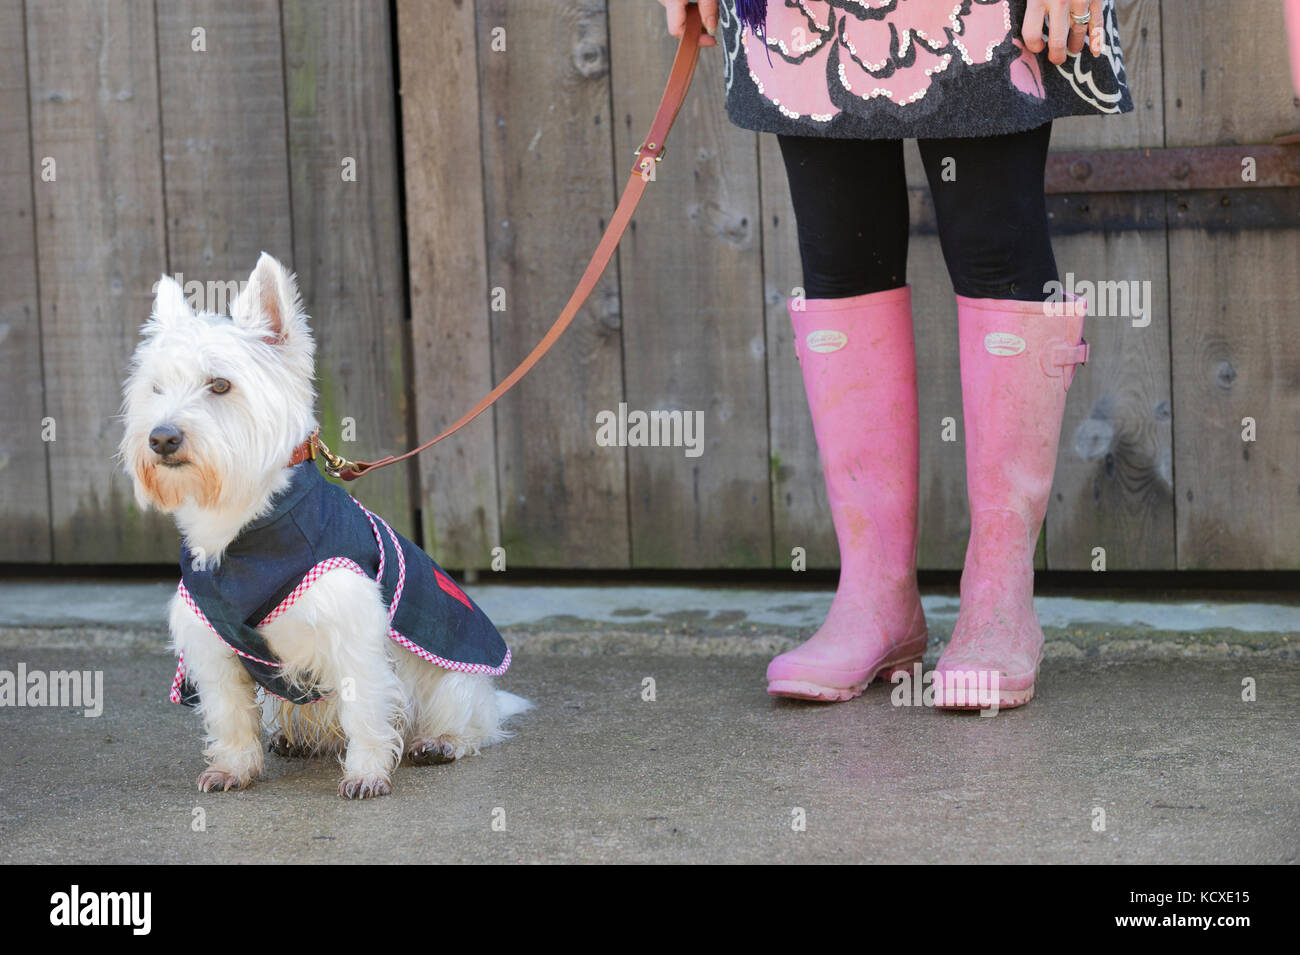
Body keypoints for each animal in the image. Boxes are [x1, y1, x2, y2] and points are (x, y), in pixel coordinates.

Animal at [120, 254, 527, 800]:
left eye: (220, 385)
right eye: (156, 388)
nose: (161, 438)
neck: (242, 527)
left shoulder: (352, 627)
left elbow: (366, 707)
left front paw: (367, 772)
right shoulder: (209, 637)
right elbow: (229, 712)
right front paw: (233, 767)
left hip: (454, 678)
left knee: (469, 716)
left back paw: (441, 741)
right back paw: (293, 739)